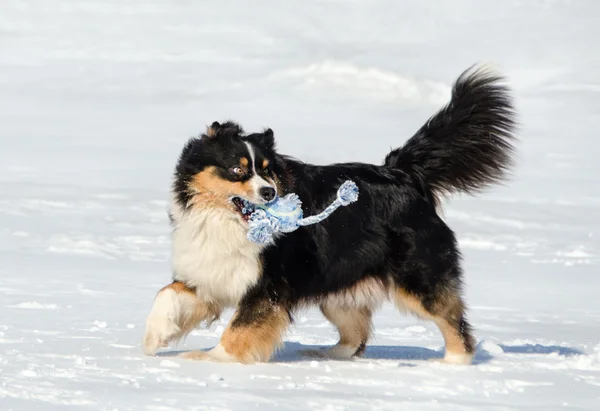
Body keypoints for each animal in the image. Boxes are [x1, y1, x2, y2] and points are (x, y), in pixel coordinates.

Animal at [141, 65, 516, 366]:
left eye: (268, 171)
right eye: (237, 169)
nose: (270, 193)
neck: (223, 221)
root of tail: (403, 172)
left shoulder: (268, 286)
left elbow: (240, 327)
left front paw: (210, 358)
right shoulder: (208, 273)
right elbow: (167, 294)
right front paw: (153, 338)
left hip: (417, 274)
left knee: (452, 320)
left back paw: (452, 363)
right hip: (339, 283)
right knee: (357, 334)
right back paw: (325, 354)